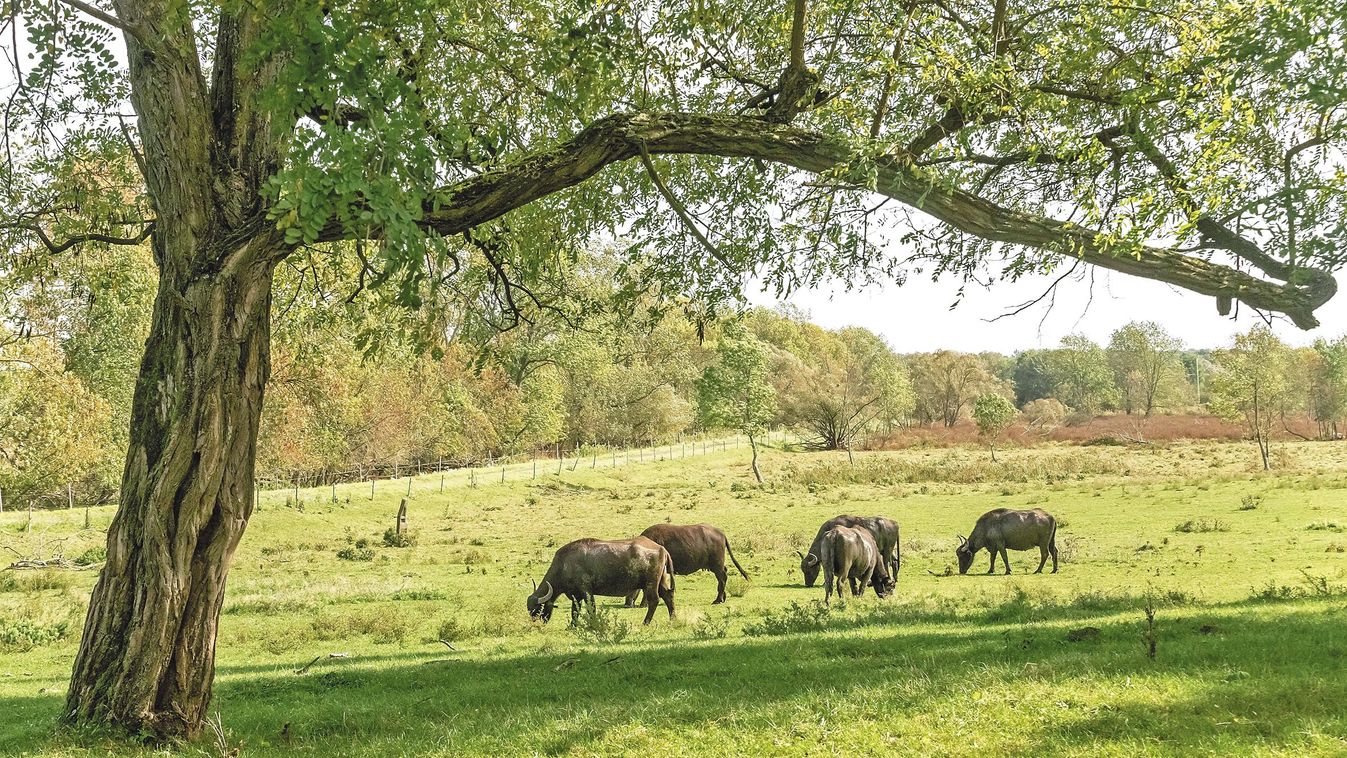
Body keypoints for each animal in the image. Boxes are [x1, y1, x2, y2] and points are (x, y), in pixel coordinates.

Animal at [525, 535, 673, 624]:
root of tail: (661, 548)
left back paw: (646, 622)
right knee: (668, 596)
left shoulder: (586, 591)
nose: (537, 622)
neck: (564, 564)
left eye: (539, 608)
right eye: (529, 609)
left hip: (651, 584)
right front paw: (573, 625)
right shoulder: (576, 596)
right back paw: (673, 618)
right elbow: (575, 611)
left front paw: (593, 624)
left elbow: (591, 608)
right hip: (660, 582)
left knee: (654, 600)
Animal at [625, 525, 754, 608]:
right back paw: (723, 598)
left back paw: (718, 600)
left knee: (722, 578)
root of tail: (720, 533)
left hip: (717, 565)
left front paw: (644, 604)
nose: (627, 603)